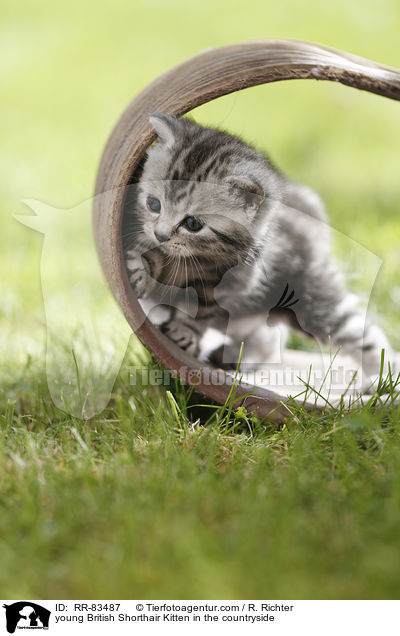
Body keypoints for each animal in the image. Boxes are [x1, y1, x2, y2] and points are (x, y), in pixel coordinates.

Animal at [123, 114, 396, 388]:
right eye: (153, 204)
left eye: (192, 224)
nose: (161, 235)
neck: (191, 257)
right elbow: (140, 249)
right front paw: (139, 270)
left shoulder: (232, 283)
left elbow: (200, 310)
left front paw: (185, 330)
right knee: (270, 339)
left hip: (311, 299)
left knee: (358, 332)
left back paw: (385, 379)